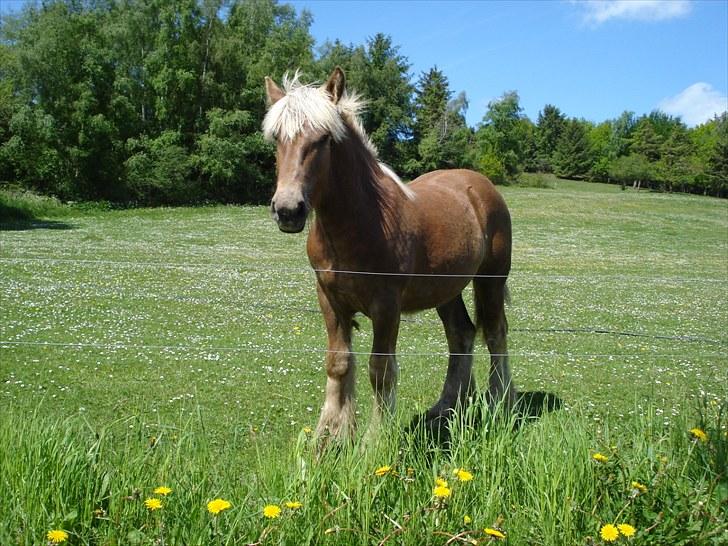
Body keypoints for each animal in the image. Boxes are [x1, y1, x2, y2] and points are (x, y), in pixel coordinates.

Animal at [264, 69, 516, 442]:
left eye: (323, 139)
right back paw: (446, 406)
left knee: (496, 332)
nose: (287, 210)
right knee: (461, 334)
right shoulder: (329, 299)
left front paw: (374, 440)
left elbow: (380, 369)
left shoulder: (386, 306)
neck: (362, 222)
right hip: (446, 290)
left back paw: (501, 401)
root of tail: (481, 185)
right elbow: (338, 363)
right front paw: (330, 437)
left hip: (491, 280)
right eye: (277, 139)